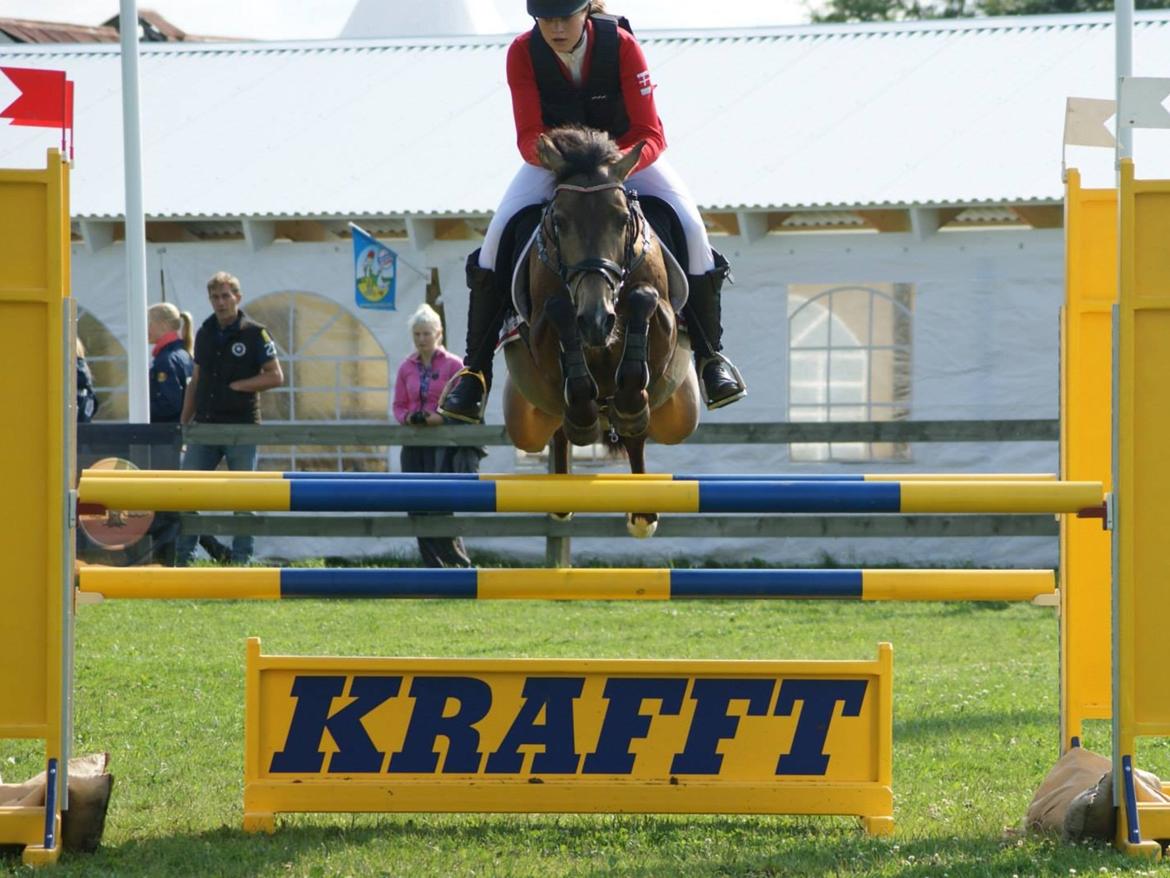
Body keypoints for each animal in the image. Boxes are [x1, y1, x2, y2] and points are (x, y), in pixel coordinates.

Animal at [501, 126, 701, 537]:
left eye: (622, 220)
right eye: (559, 222)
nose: (596, 320)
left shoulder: (667, 322)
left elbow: (644, 300)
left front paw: (628, 403)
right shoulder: (539, 334)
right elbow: (558, 311)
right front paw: (582, 412)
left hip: (679, 413)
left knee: (639, 433)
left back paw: (642, 510)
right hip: (526, 417)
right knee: (557, 431)